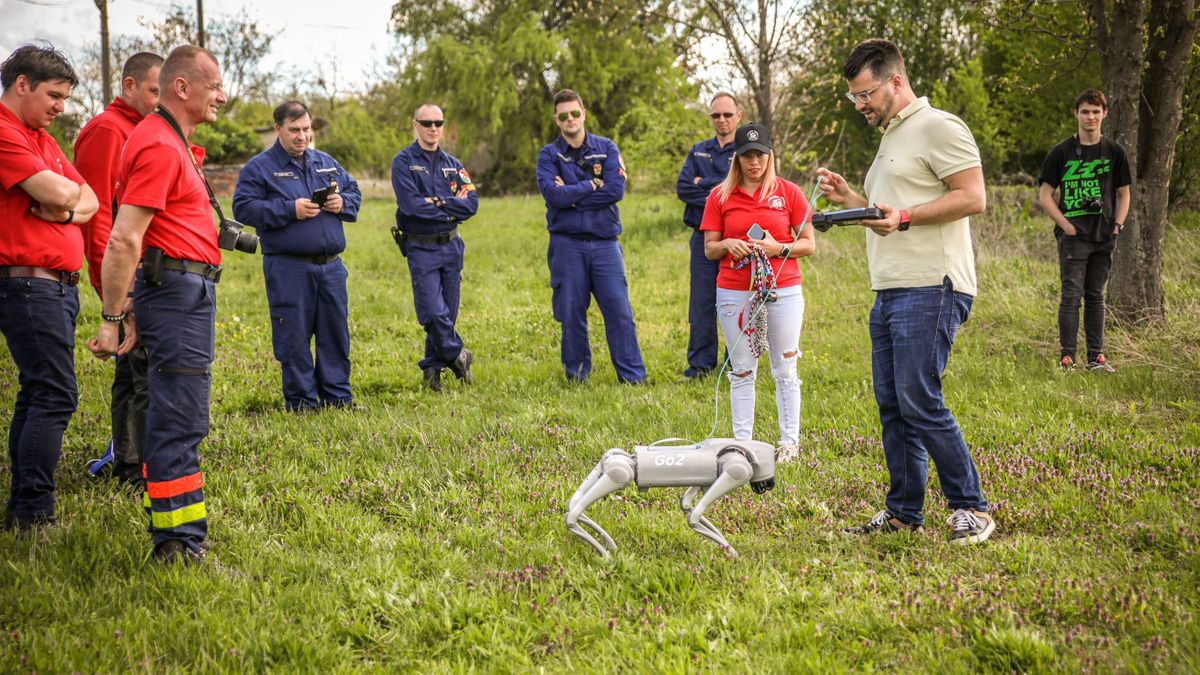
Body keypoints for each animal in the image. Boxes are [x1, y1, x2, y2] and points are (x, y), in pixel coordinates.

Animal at [564, 437, 772, 557]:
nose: (767, 484)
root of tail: (629, 460)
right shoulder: (736, 470)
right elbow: (694, 518)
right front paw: (732, 553)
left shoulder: (705, 480)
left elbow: (687, 506)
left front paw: (725, 547)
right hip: (620, 474)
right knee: (572, 516)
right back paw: (607, 556)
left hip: (611, 466)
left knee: (573, 504)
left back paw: (610, 548)